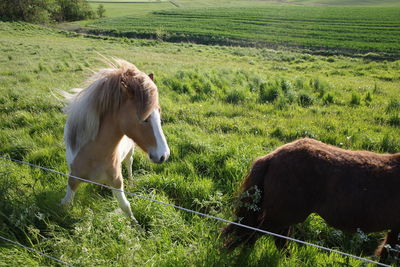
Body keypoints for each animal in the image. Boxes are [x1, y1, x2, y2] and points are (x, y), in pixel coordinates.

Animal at [60, 58, 170, 224]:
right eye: (144, 118)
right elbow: (66, 204)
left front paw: (136, 226)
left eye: (159, 113)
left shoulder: (117, 182)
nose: (164, 155)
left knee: (129, 164)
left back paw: (131, 182)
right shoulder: (73, 178)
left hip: (130, 153)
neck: (92, 155)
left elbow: (126, 207)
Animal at [223, 138, 400, 262]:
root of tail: (272, 157)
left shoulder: (394, 230)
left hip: (284, 215)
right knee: (253, 235)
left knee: (274, 238)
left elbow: (386, 253)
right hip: (283, 215)